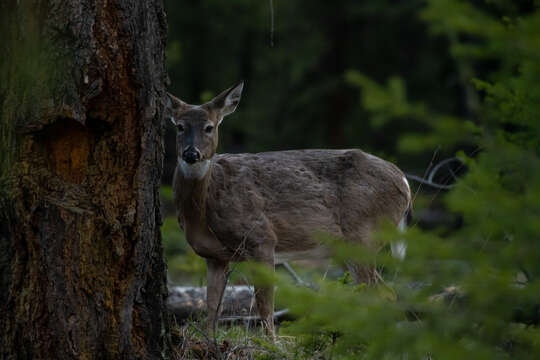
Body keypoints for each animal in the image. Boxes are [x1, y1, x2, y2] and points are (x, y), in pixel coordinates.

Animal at [167, 82, 412, 338]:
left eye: (209, 127)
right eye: (180, 126)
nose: (191, 153)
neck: (203, 211)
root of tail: (404, 181)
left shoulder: (262, 239)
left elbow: (265, 308)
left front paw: (270, 344)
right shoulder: (214, 256)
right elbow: (212, 309)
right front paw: (209, 341)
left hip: (364, 235)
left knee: (377, 293)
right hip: (348, 246)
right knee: (386, 293)